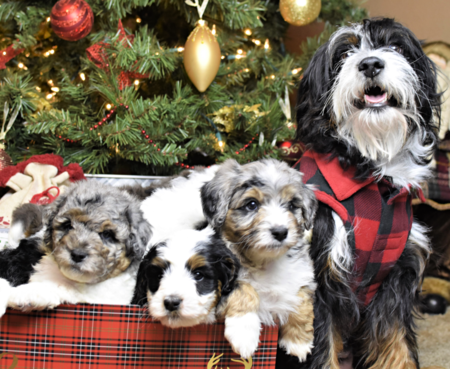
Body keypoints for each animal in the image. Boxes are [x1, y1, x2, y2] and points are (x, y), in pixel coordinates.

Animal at [280, 18, 442, 368]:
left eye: (394, 46)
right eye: (344, 54)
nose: (370, 64)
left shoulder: (398, 277)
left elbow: (398, 347)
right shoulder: (317, 279)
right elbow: (321, 350)